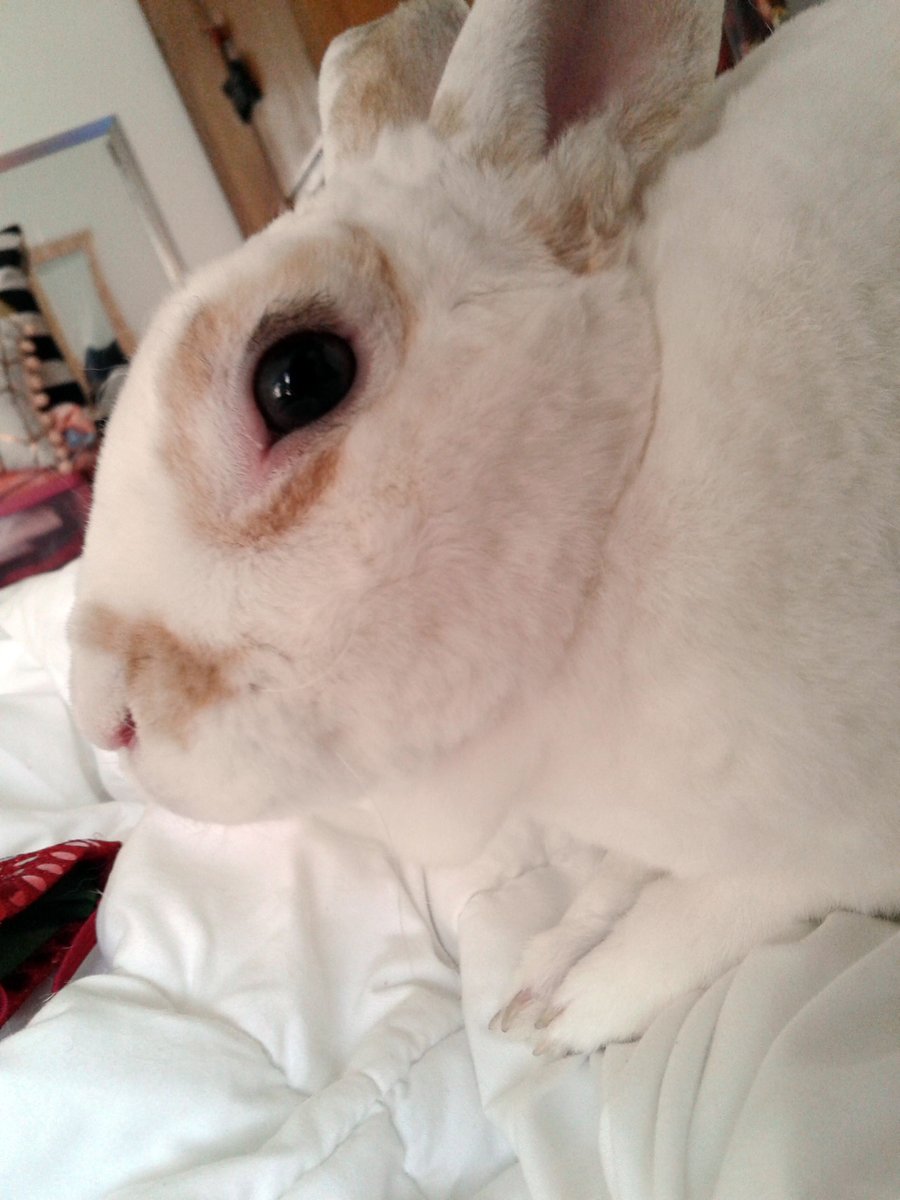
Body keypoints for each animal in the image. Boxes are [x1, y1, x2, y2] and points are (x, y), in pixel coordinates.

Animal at [69, 0, 900, 1054]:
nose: (101, 716)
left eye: (299, 376)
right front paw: (544, 966)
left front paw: (576, 1009)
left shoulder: (845, 839)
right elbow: (625, 881)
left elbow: (713, 907)